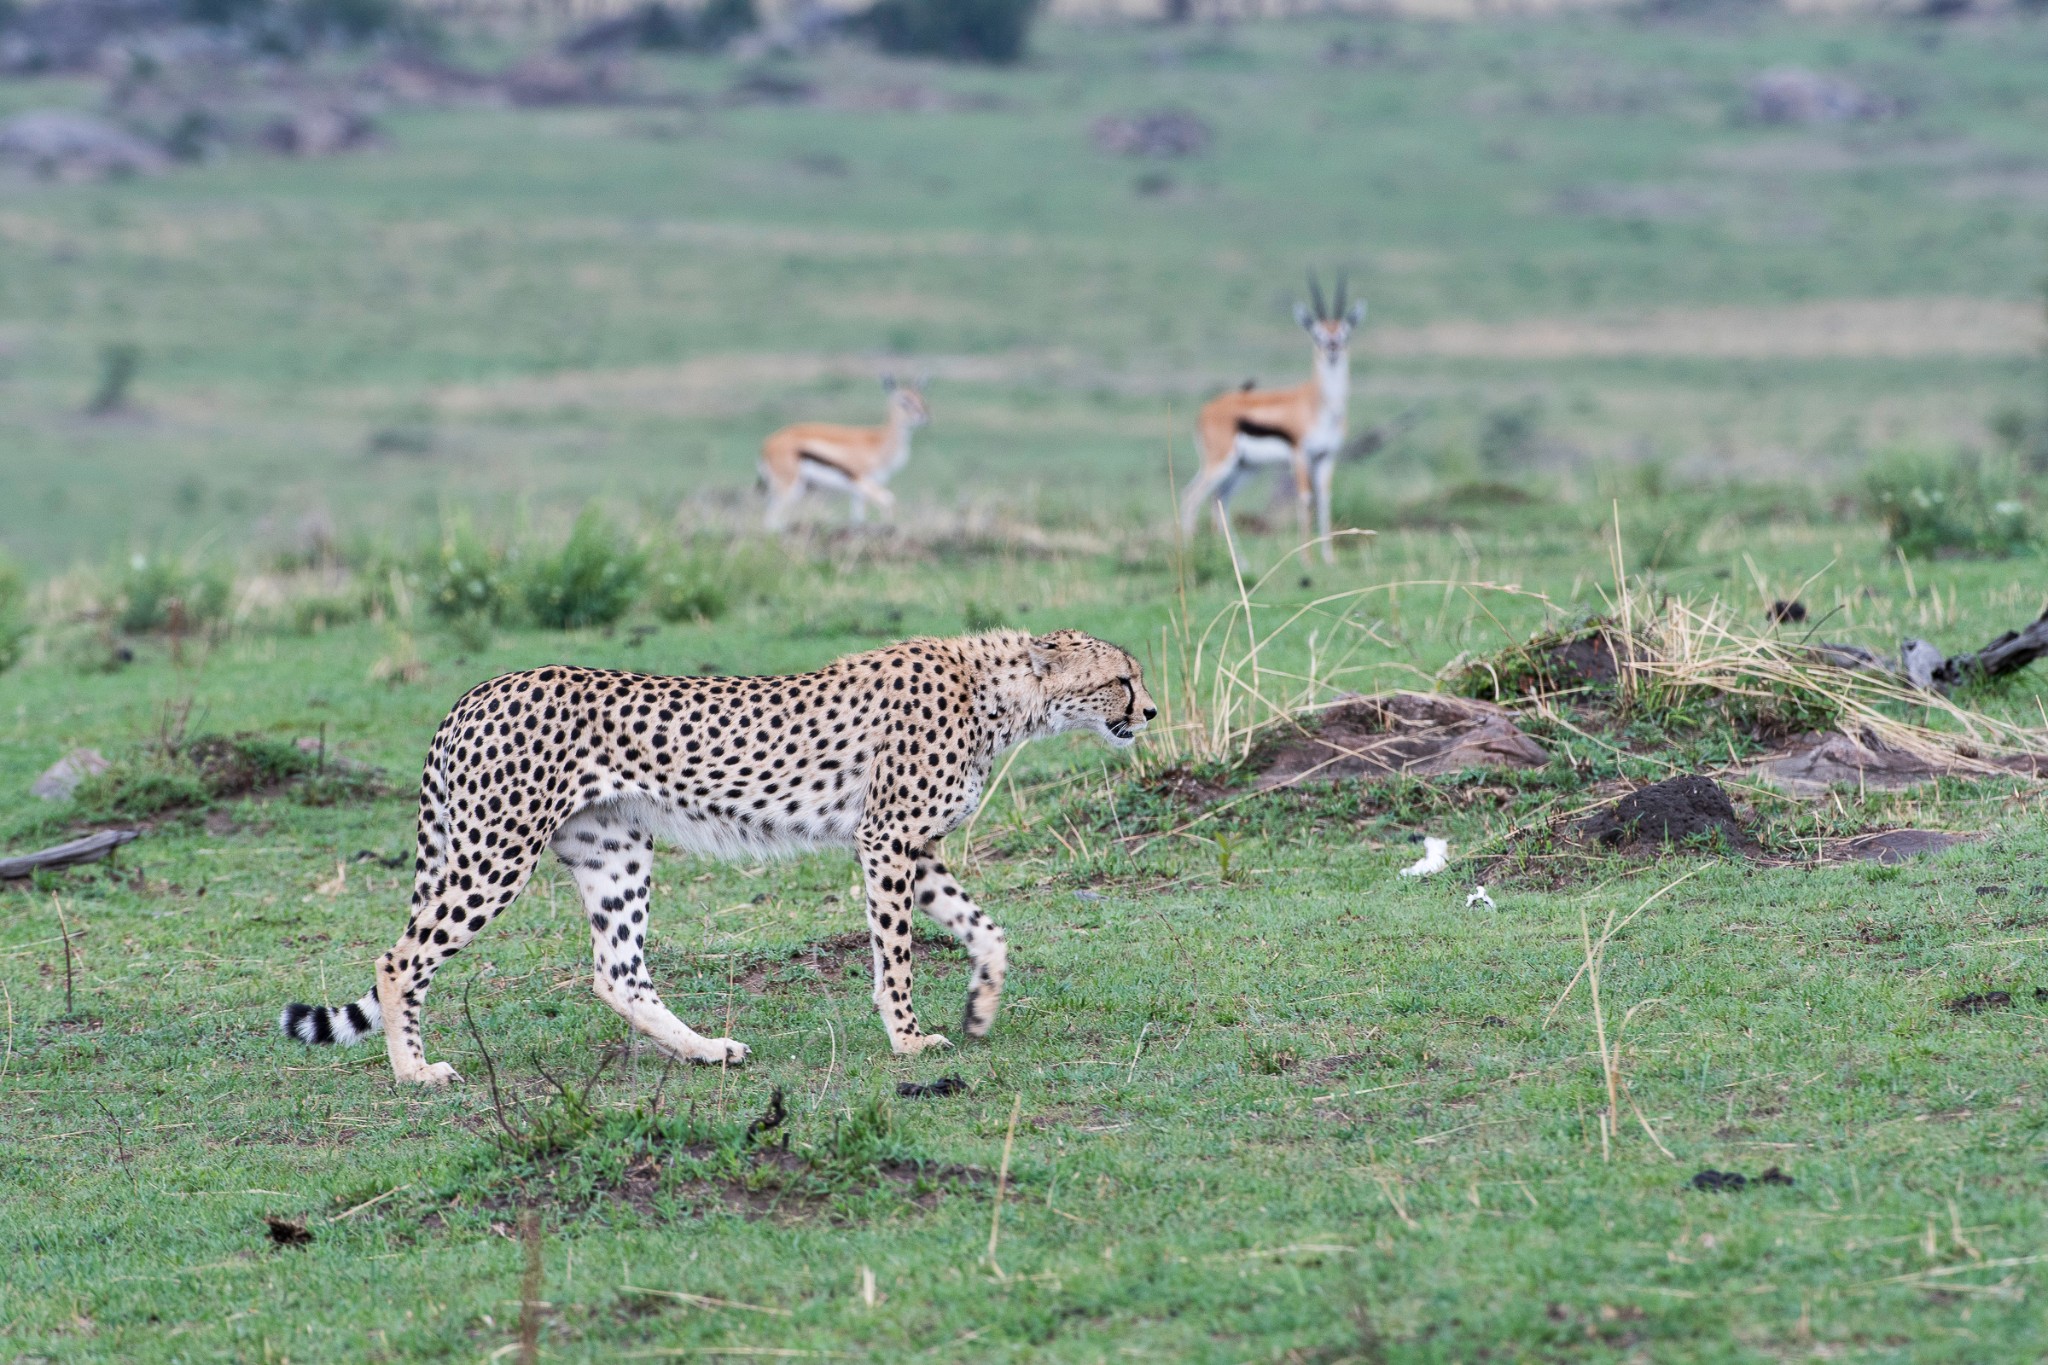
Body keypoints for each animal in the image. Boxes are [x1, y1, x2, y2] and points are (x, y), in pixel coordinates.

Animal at [280, 630, 1163, 1088]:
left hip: (614, 852)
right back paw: (413, 1071)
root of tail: (474, 693)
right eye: (1123, 676)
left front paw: (979, 1007)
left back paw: (708, 1049)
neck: (1000, 693)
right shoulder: (887, 838)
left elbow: (989, 930)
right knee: (399, 957)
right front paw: (909, 1039)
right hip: (493, 854)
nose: (1152, 711)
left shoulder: (914, 843)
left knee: (617, 972)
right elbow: (898, 954)